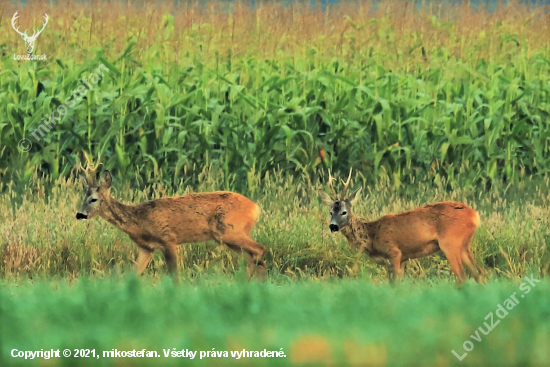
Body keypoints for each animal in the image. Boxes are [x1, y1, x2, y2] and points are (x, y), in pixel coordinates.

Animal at [75, 155, 268, 278]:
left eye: (93, 199)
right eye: (83, 197)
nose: (79, 214)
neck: (139, 220)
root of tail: (255, 207)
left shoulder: (168, 238)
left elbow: (175, 276)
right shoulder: (147, 248)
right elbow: (133, 273)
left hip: (228, 230)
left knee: (259, 250)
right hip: (229, 236)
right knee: (252, 257)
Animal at [322, 170, 486, 288]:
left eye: (344, 212)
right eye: (330, 212)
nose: (333, 226)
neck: (371, 236)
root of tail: (474, 215)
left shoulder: (394, 252)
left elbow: (394, 284)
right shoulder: (402, 259)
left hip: (450, 242)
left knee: (462, 277)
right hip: (464, 244)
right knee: (479, 273)